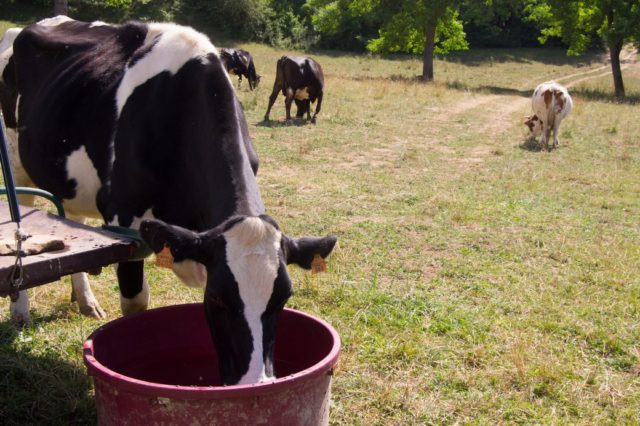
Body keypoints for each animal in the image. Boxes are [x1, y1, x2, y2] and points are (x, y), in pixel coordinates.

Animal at [0, 19, 338, 386]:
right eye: (217, 298)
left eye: (283, 297)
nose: (255, 383)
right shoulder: (124, 221)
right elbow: (135, 304)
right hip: (17, 170)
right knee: (21, 231)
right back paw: (20, 314)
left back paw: (86, 301)